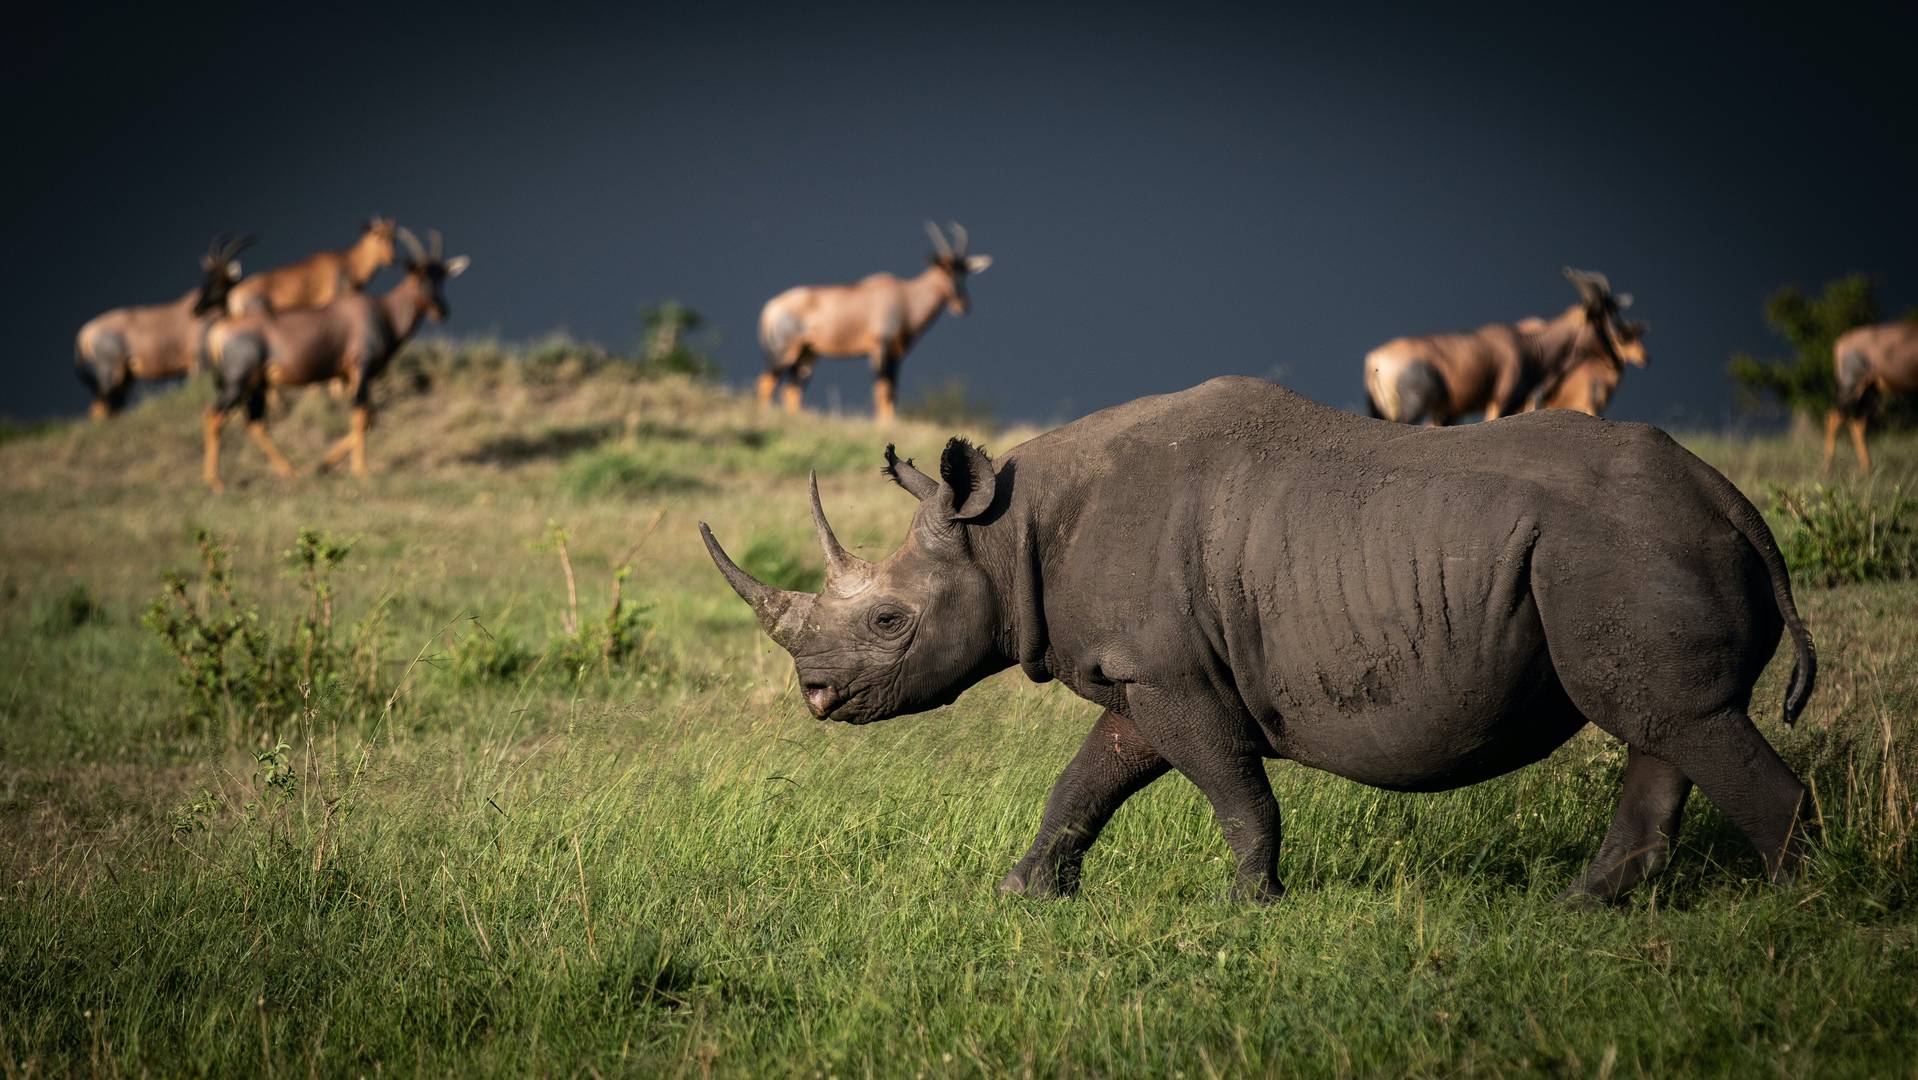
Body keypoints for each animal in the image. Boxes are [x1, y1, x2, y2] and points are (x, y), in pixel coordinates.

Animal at [701, 377, 1815, 904]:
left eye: (889, 622)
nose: (814, 694)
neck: (1008, 529)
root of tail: (1733, 500)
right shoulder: (1143, 673)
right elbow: (1085, 782)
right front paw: (1023, 893)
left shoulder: (1174, 675)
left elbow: (1235, 792)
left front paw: (1251, 903)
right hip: (1627, 551)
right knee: (1667, 722)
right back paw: (1581, 909)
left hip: (1620, 549)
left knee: (1679, 720)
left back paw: (1794, 915)